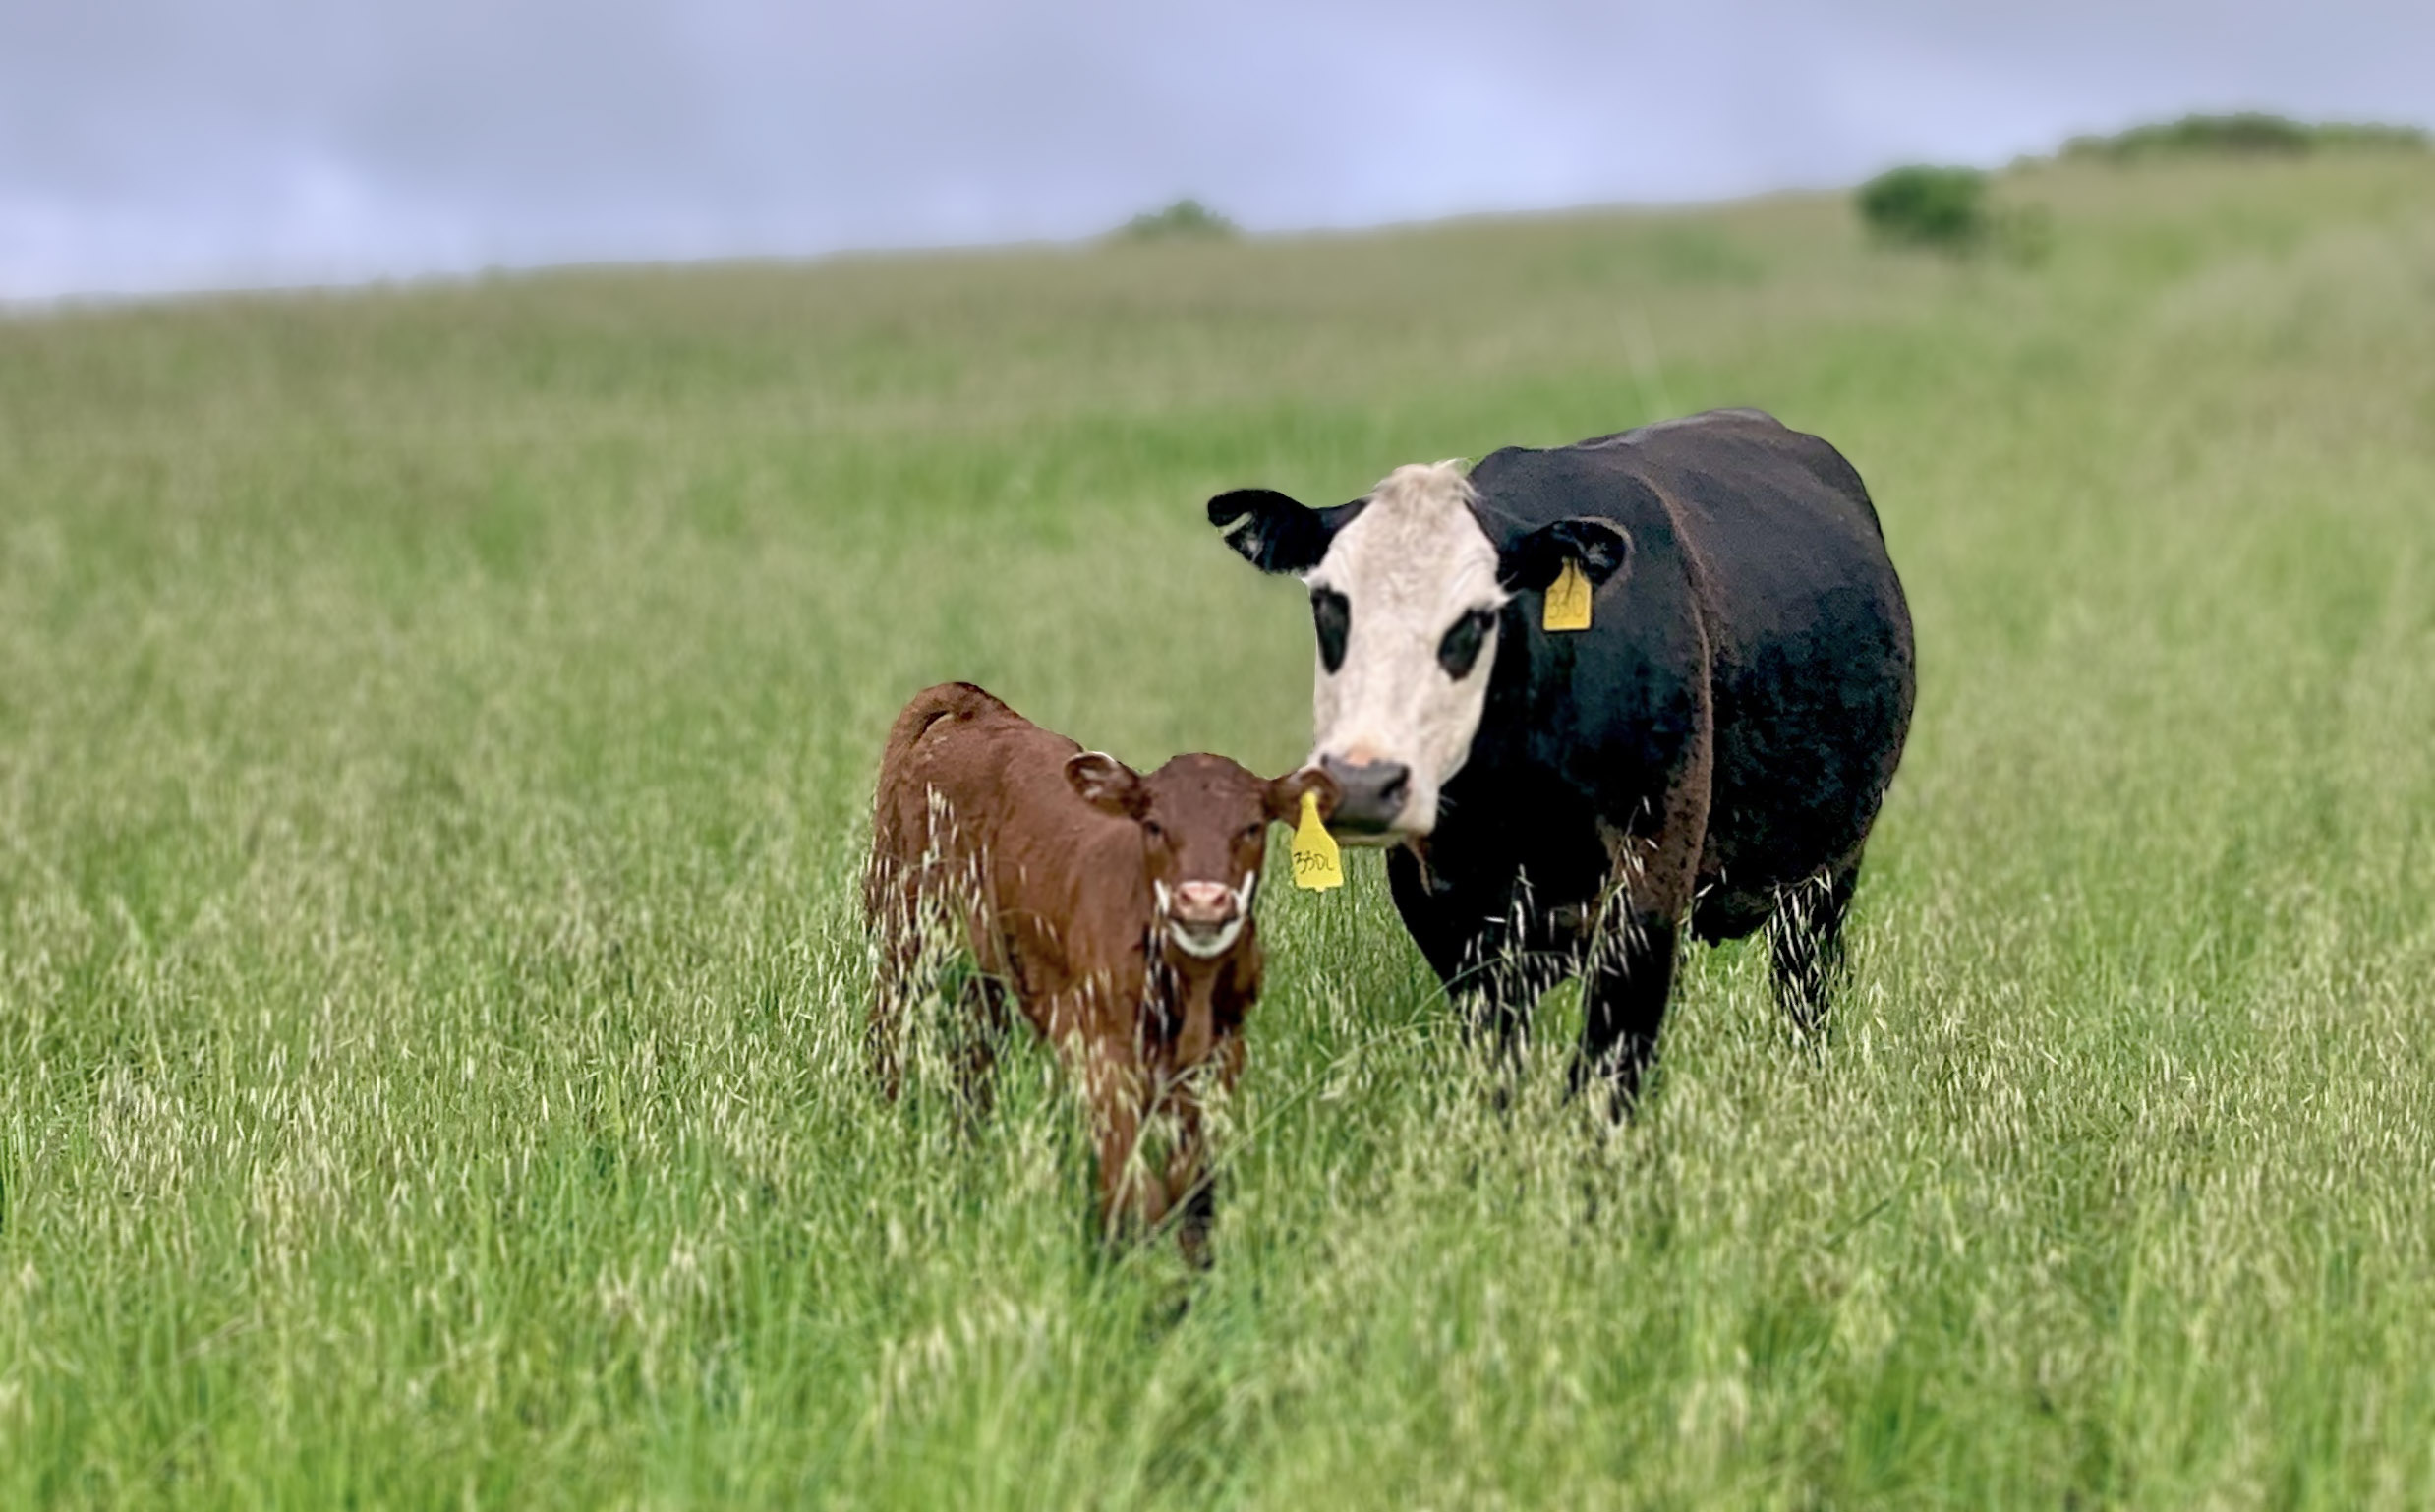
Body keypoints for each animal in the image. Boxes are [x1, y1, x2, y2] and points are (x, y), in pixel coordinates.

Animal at [871, 681, 1344, 1265]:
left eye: (1251, 827)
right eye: (1155, 825)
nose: (1202, 901)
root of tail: (979, 710)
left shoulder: (1221, 1055)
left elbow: (1195, 1181)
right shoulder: (1098, 1045)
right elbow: (1132, 1178)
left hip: (988, 979)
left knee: (973, 1071)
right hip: (904, 932)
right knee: (888, 1038)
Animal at [1207, 406, 1908, 1100]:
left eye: (1477, 615)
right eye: (1329, 602)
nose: (1364, 781)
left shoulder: (1649, 877)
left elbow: (1607, 1068)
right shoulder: (1443, 905)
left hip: (1825, 881)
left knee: (1803, 993)